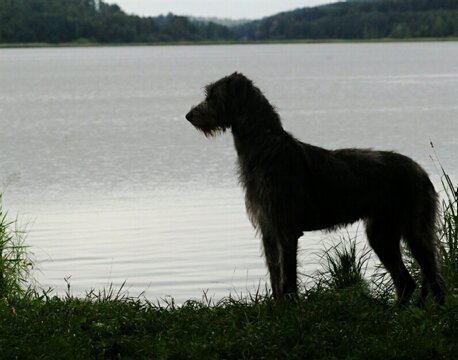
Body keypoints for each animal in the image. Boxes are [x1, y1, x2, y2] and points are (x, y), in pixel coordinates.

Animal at [184, 71, 446, 306]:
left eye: (212, 96)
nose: (188, 115)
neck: (265, 148)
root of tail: (420, 171)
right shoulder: (268, 229)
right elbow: (275, 277)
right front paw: (276, 310)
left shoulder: (286, 229)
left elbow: (288, 279)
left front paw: (290, 310)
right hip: (381, 233)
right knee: (406, 281)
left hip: (414, 230)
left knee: (434, 278)